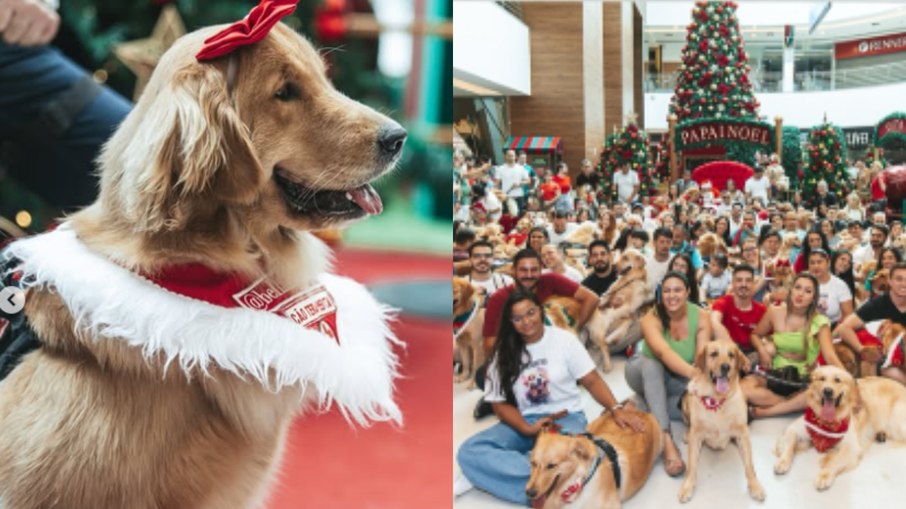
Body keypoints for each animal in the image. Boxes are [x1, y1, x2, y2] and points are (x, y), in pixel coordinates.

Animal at [680, 340, 764, 502]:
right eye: (714, 354)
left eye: (731, 355)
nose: (726, 367)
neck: (718, 399)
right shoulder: (697, 434)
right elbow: (692, 465)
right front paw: (687, 486)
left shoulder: (743, 433)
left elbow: (749, 465)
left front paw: (755, 486)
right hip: (685, 402)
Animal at [768, 364, 904, 490]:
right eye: (822, 378)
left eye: (837, 380)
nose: (827, 391)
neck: (826, 422)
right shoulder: (793, 429)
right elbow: (789, 445)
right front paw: (782, 461)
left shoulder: (851, 447)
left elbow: (835, 461)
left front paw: (824, 476)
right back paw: (880, 435)